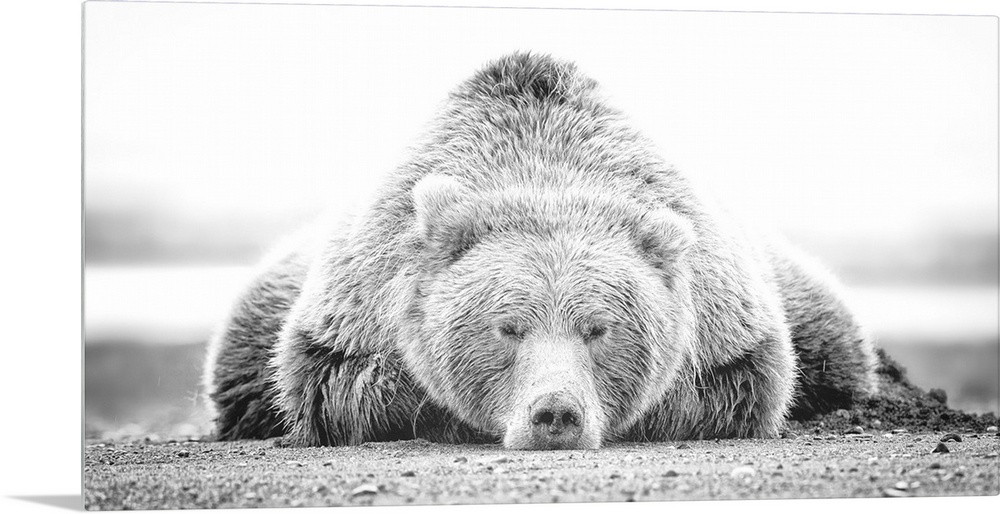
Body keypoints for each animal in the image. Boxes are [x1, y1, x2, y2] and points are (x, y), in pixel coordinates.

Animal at [202, 52, 878, 450]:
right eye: (507, 327)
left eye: (599, 328)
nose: (556, 414)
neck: (542, 169)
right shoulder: (355, 307)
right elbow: (336, 384)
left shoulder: (725, 320)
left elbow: (738, 384)